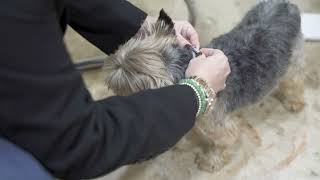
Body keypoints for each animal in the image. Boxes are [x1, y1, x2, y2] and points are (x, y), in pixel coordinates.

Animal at [103, 0, 304, 172]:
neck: (184, 65)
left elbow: (222, 143)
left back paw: (294, 101)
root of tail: (286, 5)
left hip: (293, 62)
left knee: (294, 81)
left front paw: (210, 161)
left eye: (120, 85)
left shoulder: (221, 127)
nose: (109, 69)